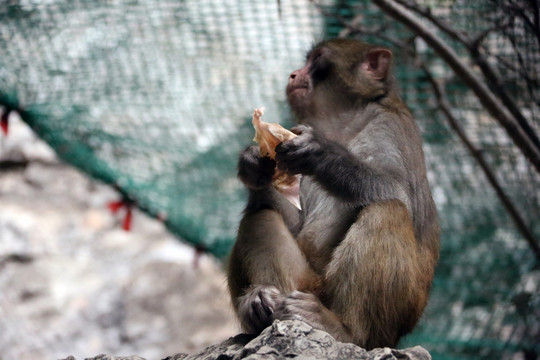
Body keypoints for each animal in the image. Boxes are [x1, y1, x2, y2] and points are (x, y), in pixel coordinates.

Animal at [226, 38, 440, 348]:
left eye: (317, 59)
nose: (293, 74)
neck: (340, 122)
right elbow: (292, 219)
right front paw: (253, 163)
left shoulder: (390, 126)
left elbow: (401, 196)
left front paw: (320, 153)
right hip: (306, 284)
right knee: (261, 216)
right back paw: (261, 304)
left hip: (387, 320)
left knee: (387, 209)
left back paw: (345, 330)